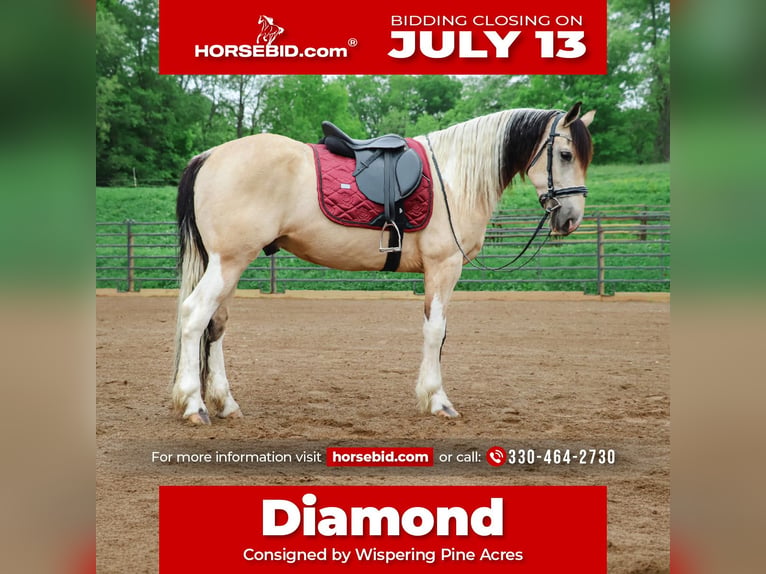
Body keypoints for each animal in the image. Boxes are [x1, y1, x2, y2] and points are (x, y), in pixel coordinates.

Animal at [172, 102, 595, 425]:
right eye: (565, 155)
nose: (571, 219)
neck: (453, 178)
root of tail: (209, 156)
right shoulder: (443, 267)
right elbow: (435, 331)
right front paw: (437, 400)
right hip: (228, 262)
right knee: (194, 316)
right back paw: (193, 405)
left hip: (229, 264)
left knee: (216, 325)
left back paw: (225, 404)